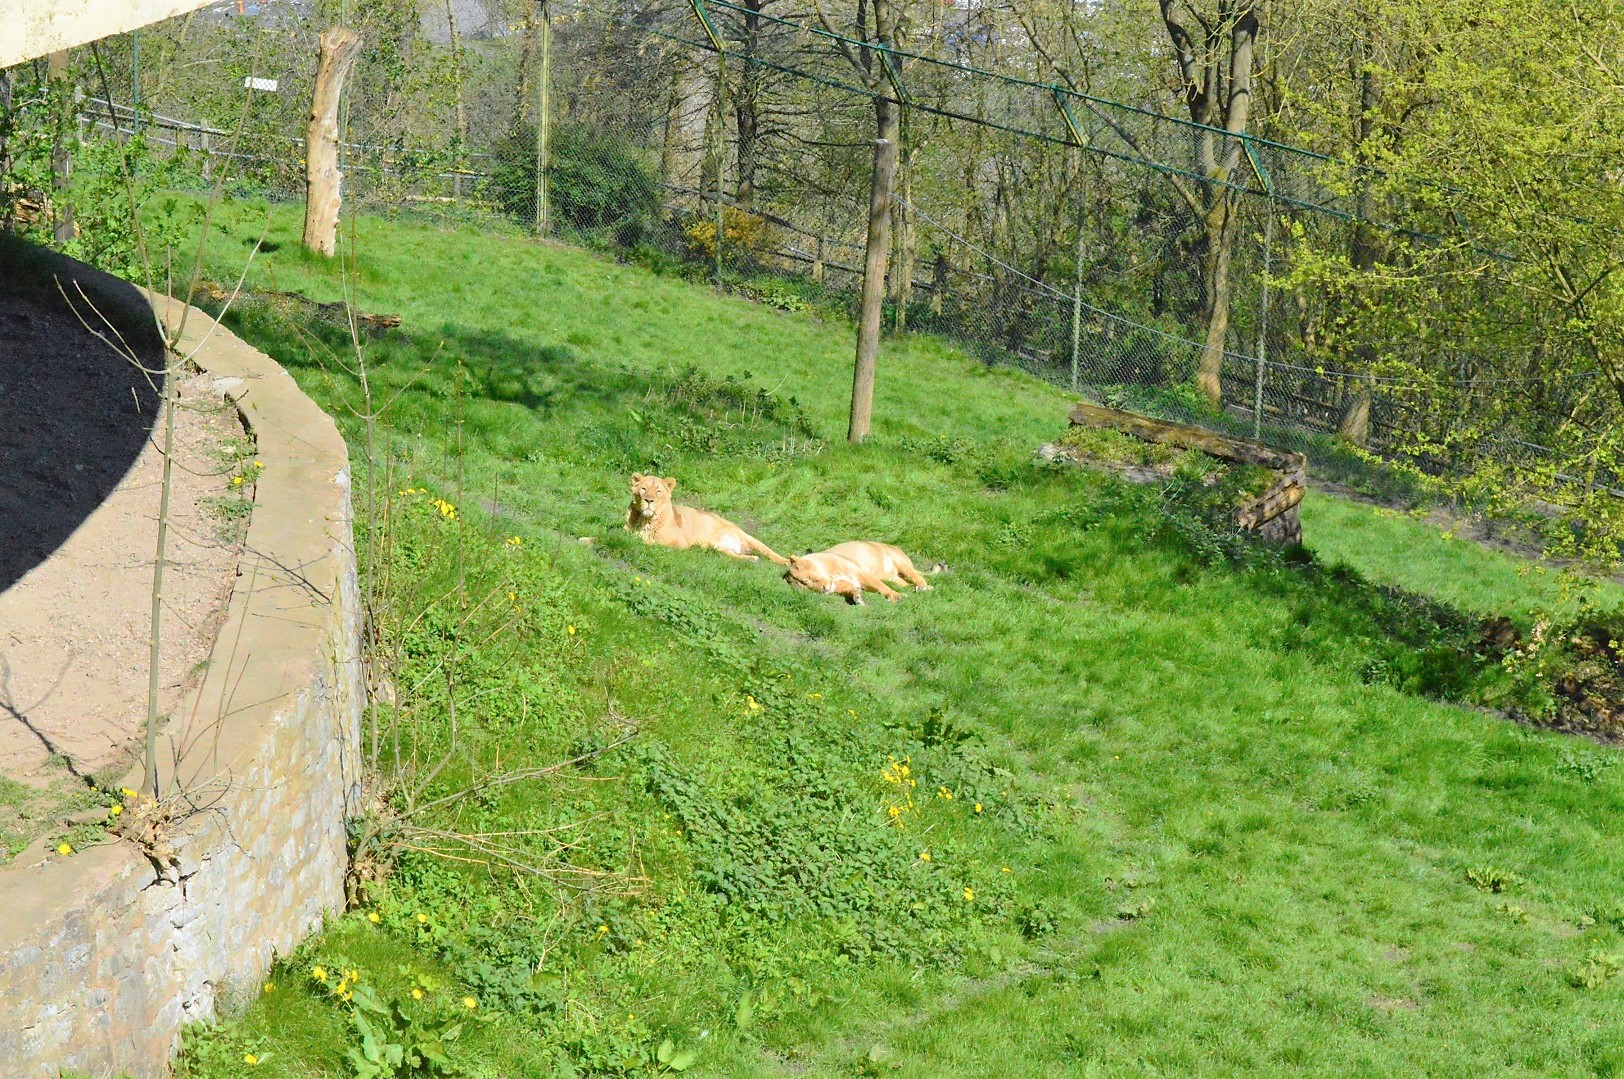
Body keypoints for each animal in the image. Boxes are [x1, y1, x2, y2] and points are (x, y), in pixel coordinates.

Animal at [625, 473, 788, 564]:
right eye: (644, 489)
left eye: (658, 491)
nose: (649, 500)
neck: (646, 520)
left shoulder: (680, 543)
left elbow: (655, 543)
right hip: (715, 547)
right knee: (735, 556)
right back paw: (752, 559)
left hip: (749, 538)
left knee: (770, 552)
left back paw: (786, 562)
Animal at [783, 541, 934, 604]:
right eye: (807, 587)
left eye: (808, 579)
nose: (824, 589)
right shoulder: (841, 584)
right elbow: (851, 589)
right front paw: (857, 597)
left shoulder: (862, 573)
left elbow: (881, 587)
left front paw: (896, 596)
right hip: (894, 578)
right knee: (904, 582)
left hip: (901, 562)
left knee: (916, 575)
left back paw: (924, 587)